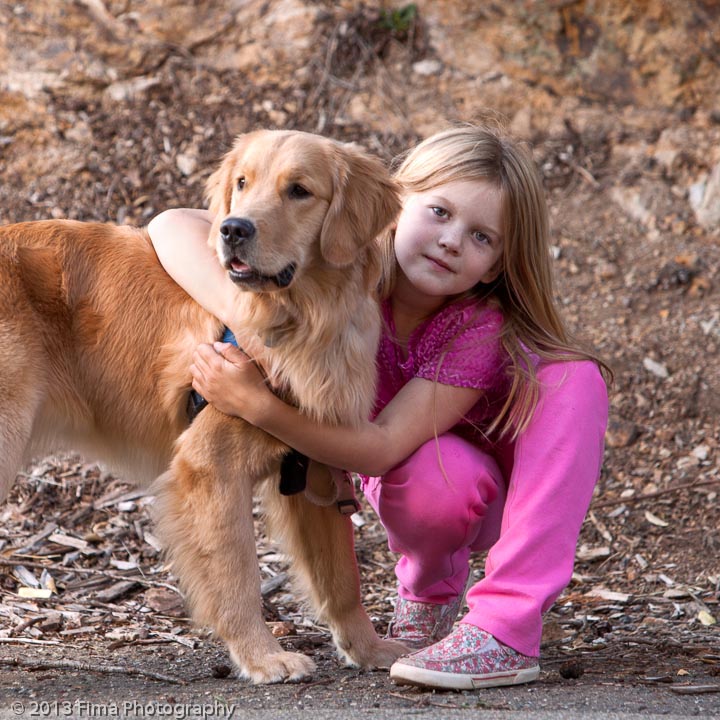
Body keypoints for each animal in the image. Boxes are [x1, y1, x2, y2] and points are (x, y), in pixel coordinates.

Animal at [0, 128, 404, 680]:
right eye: (242, 183)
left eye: (299, 190)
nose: (232, 229)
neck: (303, 318)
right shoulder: (210, 466)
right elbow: (237, 574)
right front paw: (261, 656)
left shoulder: (313, 471)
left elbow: (343, 580)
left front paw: (369, 650)